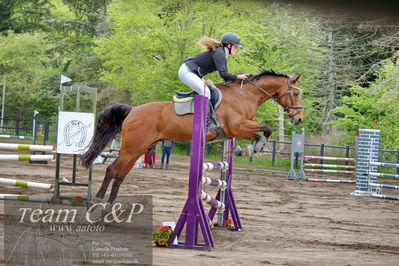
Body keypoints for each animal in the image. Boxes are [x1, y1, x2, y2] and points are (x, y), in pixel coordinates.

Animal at [82, 69, 306, 204]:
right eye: (296, 94)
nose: (299, 119)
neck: (245, 95)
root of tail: (132, 110)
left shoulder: (240, 128)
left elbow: (262, 132)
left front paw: (244, 149)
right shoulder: (237, 127)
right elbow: (266, 129)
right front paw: (251, 149)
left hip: (139, 148)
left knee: (120, 174)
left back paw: (110, 205)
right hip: (131, 149)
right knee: (112, 170)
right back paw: (99, 201)